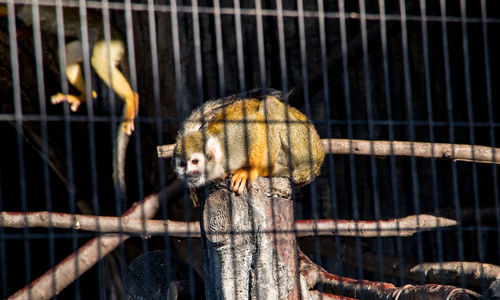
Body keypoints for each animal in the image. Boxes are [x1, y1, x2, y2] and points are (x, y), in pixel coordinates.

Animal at [175, 93, 324, 195]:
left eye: (195, 161)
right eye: (182, 164)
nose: (188, 173)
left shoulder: (231, 141)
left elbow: (254, 124)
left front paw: (249, 170)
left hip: (304, 148)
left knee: (269, 104)